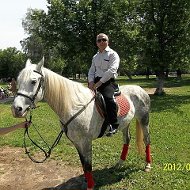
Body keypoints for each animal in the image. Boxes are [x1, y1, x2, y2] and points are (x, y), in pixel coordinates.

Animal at [11, 58, 151, 189]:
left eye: (33, 81)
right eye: (18, 81)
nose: (16, 109)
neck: (74, 106)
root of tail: (139, 89)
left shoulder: (86, 141)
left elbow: (88, 165)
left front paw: (90, 185)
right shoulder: (77, 142)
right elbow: (83, 164)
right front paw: (87, 181)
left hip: (144, 119)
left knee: (146, 140)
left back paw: (148, 165)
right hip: (125, 123)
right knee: (127, 140)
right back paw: (120, 163)